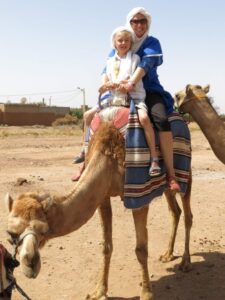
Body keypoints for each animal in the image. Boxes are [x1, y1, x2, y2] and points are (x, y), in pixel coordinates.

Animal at [4, 113, 192, 300]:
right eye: (10, 234)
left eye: (43, 230)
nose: (30, 264)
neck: (108, 158)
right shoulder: (102, 197)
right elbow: (106, 246)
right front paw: (99, 291)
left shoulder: (138, 196)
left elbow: (141, 249)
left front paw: (146, 293)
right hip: (165, 185)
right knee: (175, 211)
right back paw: (168, 254)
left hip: (185, 172)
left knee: (187, 214)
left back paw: (185, 262)